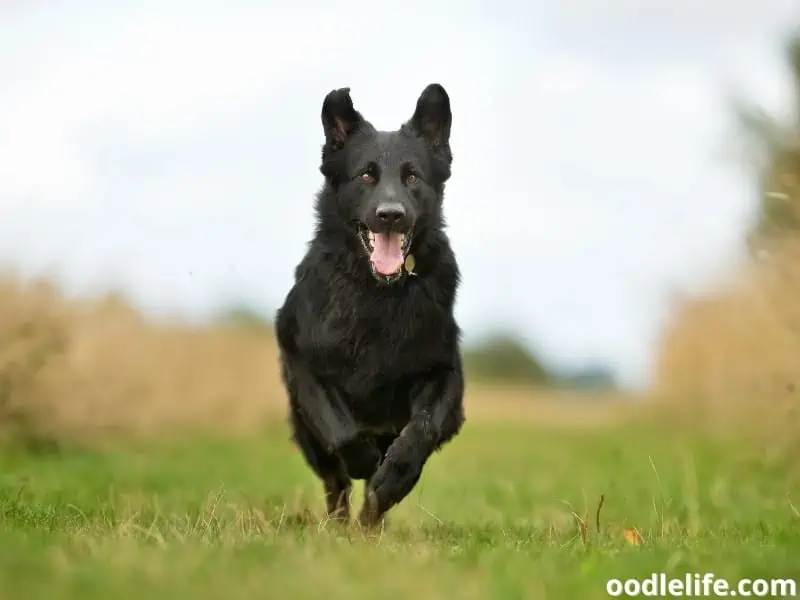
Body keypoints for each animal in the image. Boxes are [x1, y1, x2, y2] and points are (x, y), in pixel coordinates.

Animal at [274, 83, 462, 524]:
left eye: (412, 176)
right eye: (365, 175)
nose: (390, 215)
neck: (378, 294)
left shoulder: (444, 372)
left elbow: (422, 428)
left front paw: (394, 475)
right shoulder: (304, 364)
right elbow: (342, 430)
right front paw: (363, 460)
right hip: (306, 432)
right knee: (335, 484)